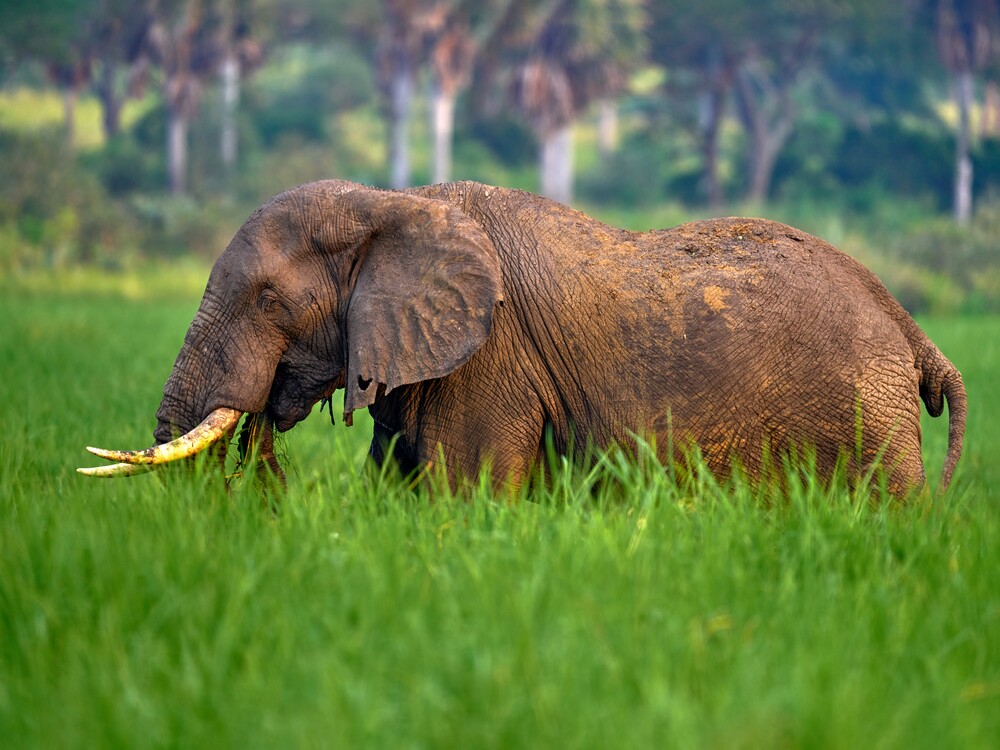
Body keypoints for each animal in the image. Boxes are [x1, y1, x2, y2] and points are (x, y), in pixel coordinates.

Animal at [80, 180, 966, 497]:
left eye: (268, 300)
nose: (259, 420)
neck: (389, 201)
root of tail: (913, 331)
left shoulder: (490, 358)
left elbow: (460, 490)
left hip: (870, 417)